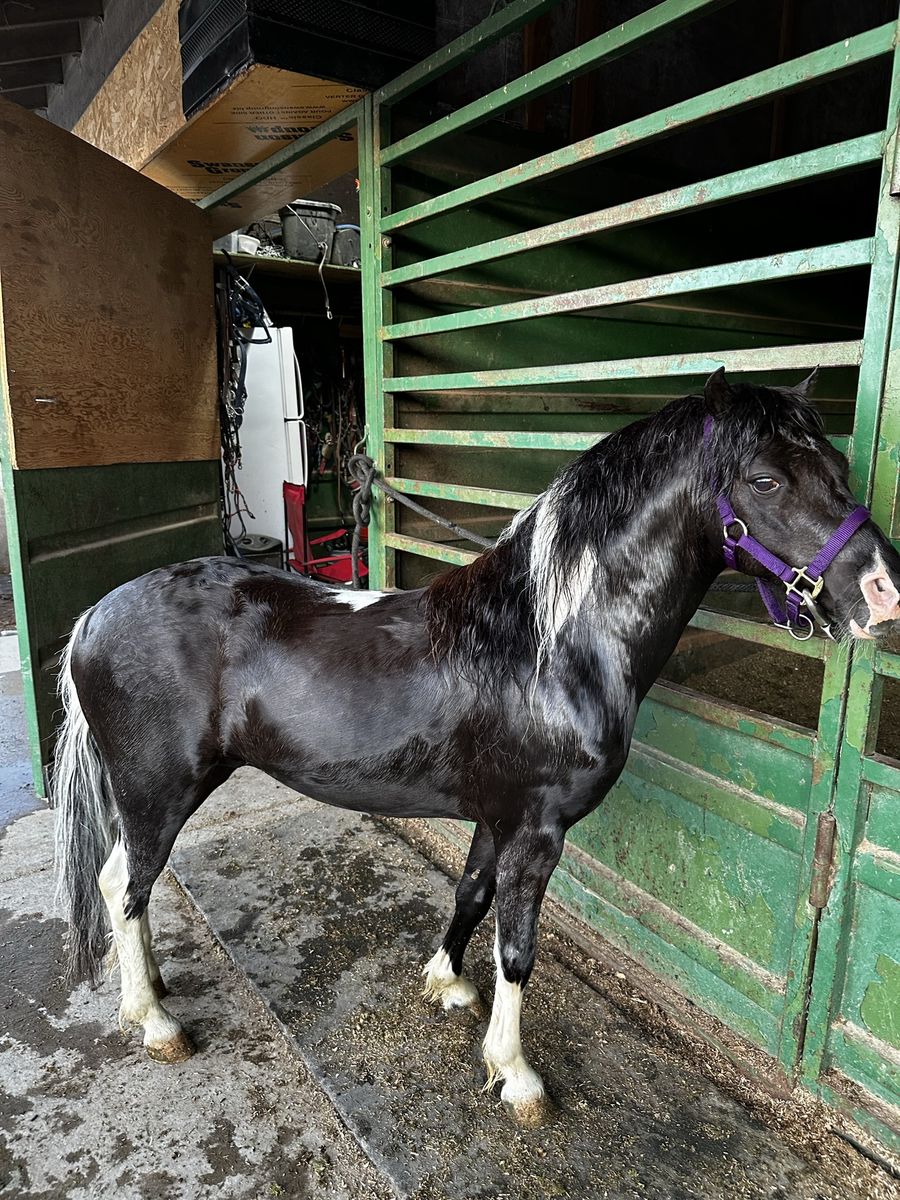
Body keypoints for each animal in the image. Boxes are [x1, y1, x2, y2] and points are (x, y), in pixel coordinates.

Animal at [53, 369, 900, 1127]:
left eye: (839, 468)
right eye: (765, 479)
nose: (884, 593)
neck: (547, 642)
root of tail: (93, 615)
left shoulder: (499, 818)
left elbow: (470, 894)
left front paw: (447, 984)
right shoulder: (538, 832)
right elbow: (519, 951)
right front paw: (516, 1076)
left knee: (127, 889)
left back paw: (155, 987)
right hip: (158, 791)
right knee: (124, 884)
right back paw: (154, 1021)